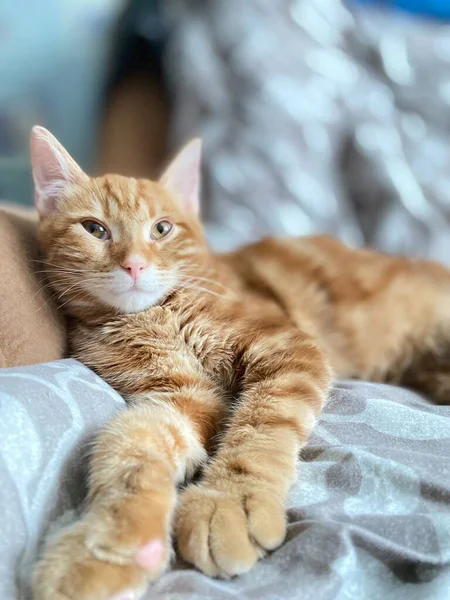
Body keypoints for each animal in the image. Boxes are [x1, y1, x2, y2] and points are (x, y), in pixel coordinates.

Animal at [30, 126, 450, 600]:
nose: (134, 265)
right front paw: (106, 548)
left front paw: (230, 500)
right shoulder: (181, 396)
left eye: (162, 228)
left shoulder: (287, 348)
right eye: (94, 229)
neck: (157, 315)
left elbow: (260, 426)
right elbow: (132, 445)